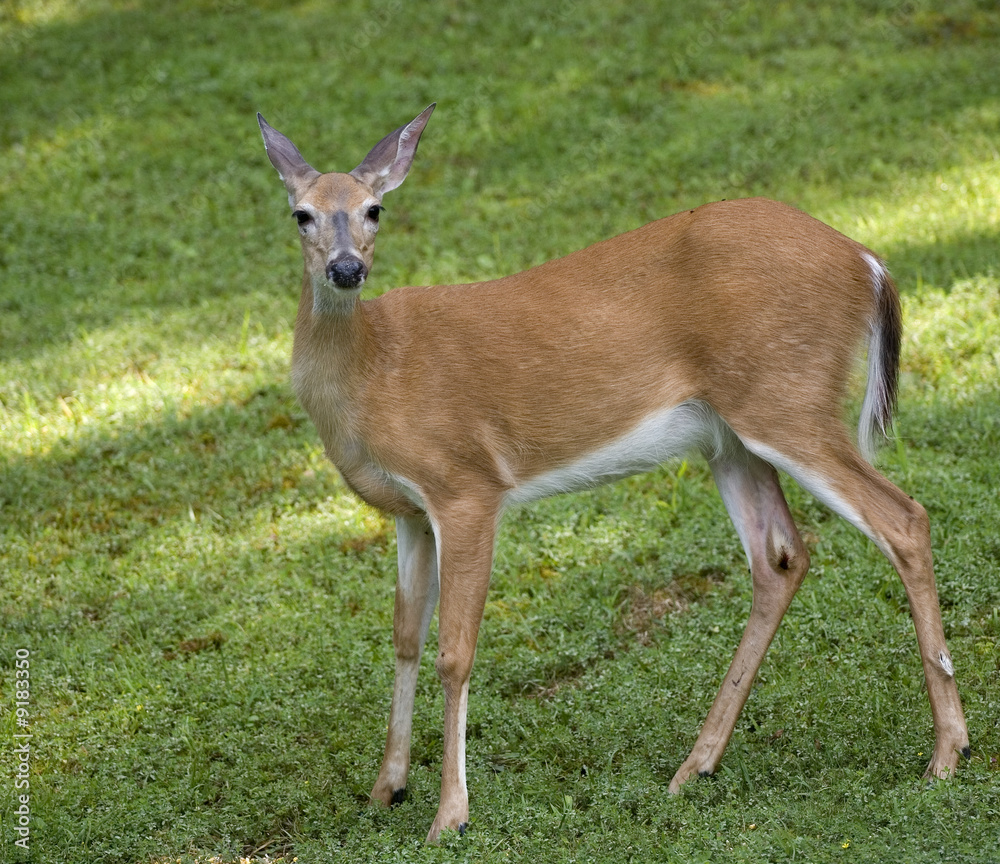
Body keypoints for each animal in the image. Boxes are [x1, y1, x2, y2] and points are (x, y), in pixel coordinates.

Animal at [257, 103, 969, 843]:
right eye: (302, 214)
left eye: (375, 209)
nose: (345, 269)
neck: (374, 371)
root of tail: (868, 261)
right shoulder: (410, 512)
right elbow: (403, 639)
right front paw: (385, 789)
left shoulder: (466, 485)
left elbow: (455, 649)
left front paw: (449, 815)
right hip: (732, 436)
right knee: (780, 557)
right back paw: (695, 767)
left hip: (786, 400)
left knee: (903, 518)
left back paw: (947, 754)